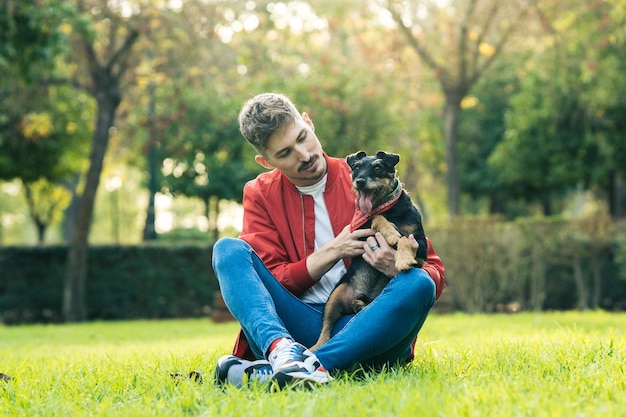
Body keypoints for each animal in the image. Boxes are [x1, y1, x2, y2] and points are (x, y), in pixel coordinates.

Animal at [310, 150, 426, 352]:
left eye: (378, 167)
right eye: (356, 167)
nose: (360, 181)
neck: (390, 209)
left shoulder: (422, 249)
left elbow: (405, 239)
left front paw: (403, 258)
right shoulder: (356, 233)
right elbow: (375, 217)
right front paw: (389, 232)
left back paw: (360, 305)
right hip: (335, 296)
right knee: (325, 330)